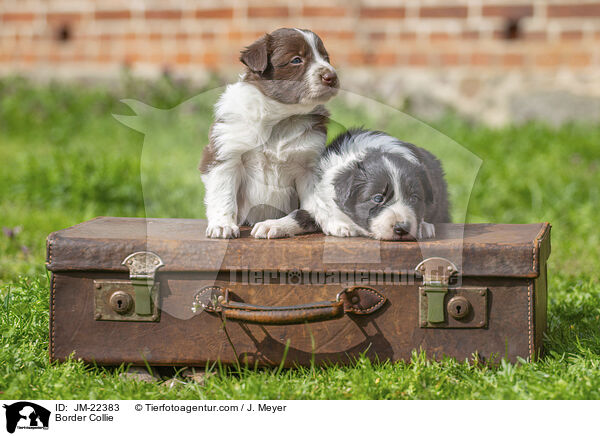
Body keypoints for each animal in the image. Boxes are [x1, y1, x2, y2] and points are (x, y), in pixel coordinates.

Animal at [198, 28, 336, 238]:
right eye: (296, 60)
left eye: (326, 58)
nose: (332, 77)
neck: (279, 119)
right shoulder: (225, 154)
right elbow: (223, 195)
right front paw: (222, 225)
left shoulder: (309, 166)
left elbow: (309, 210)